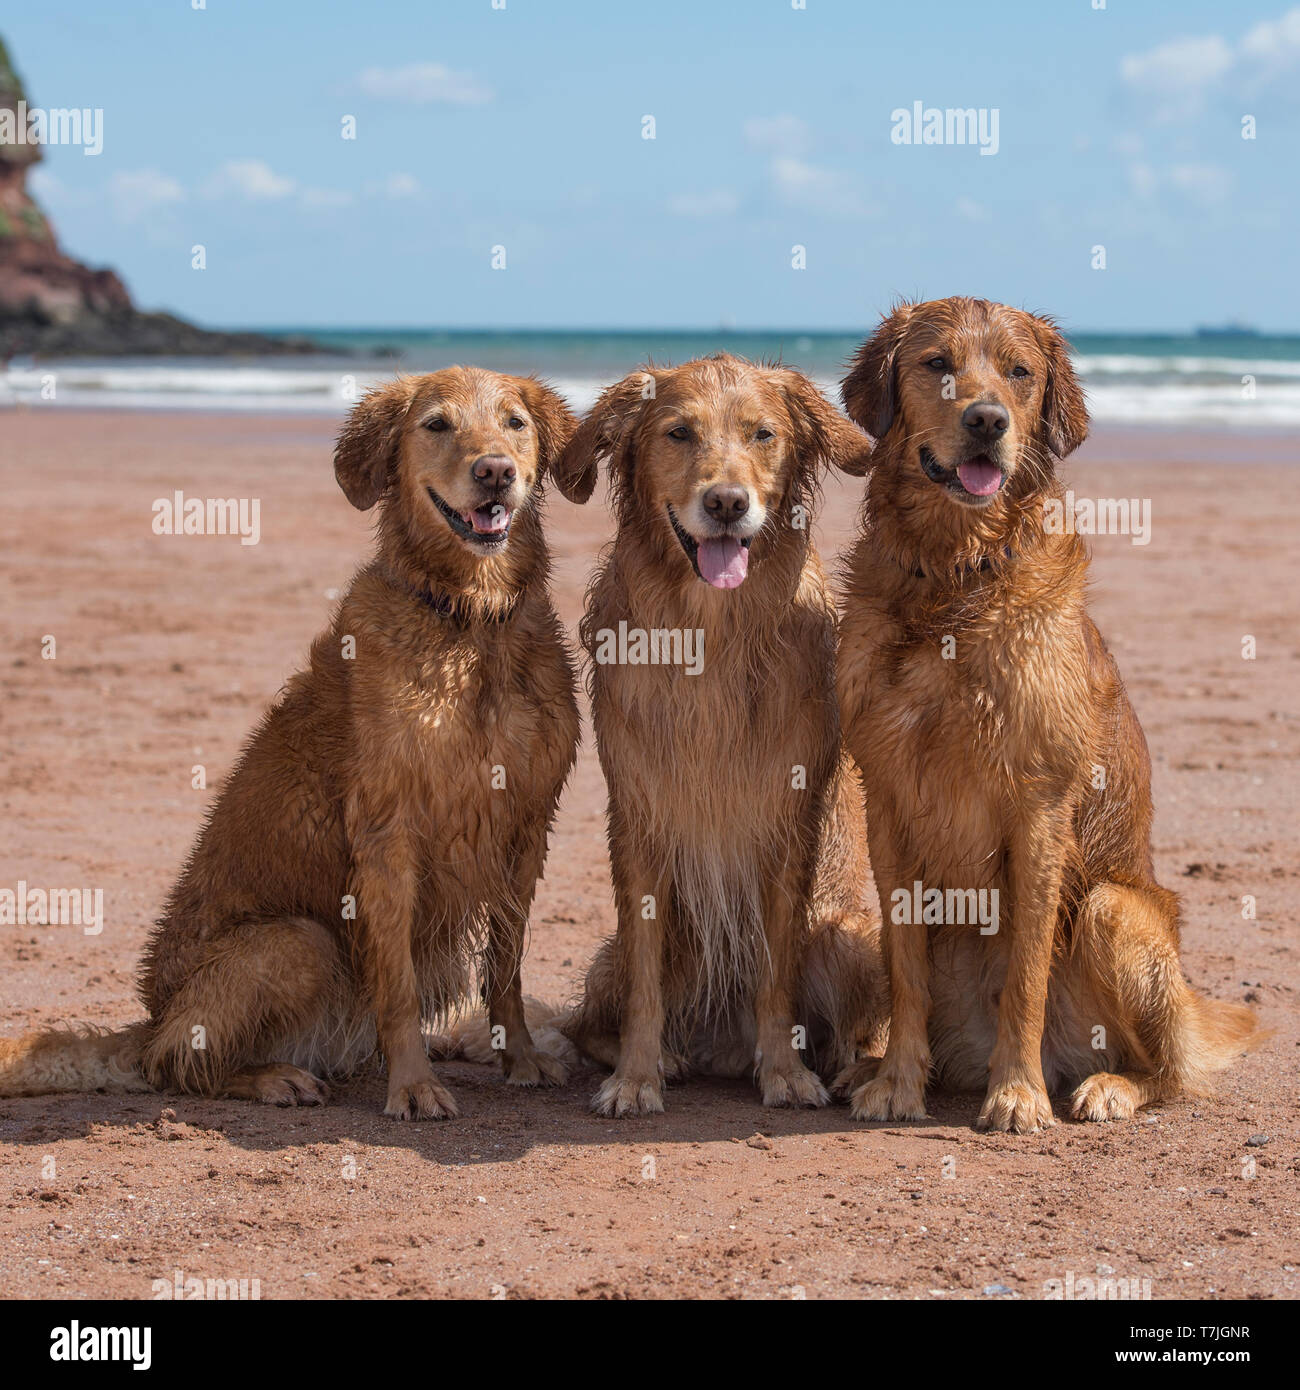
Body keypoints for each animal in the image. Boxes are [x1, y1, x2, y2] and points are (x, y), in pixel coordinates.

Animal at [0, 366, 578, 1117]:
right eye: (437, 424)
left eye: (515, 422)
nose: (495, 473)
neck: (470, 620)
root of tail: (150, 1019)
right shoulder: (389, 835)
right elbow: (397, 986)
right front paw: (414, 1084)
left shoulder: (525, 827)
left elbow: (506, 967)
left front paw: (523, 1059)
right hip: (295, 940)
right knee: (176, 1064)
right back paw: (272, 1077)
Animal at [545, 355, 889, 1117]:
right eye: (678, 433)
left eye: (764, 434)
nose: (728, 503)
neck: (711, 629)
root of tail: (720, 1047)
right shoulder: (637, 820)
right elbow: (643, 989)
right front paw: (637, 1077)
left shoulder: (787, 825)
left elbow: (775, 973)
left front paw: (786, 1072)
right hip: (618, 953)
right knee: (591, 1021)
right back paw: (670, 1057)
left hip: (851, 939)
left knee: (857, 1029)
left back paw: (845, 1070)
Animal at [834, 298, 1262, 1134]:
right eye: (936, 363)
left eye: (1020, 372)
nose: (986, 420)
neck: (955, 576)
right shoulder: (888, 801)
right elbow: (905, 971)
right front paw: (897, 1082)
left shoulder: (1039, 807)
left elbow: (1027, 973)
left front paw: (1017, 1094)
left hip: (1112, 910)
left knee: (1172, 1071)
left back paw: (1105, 1087)